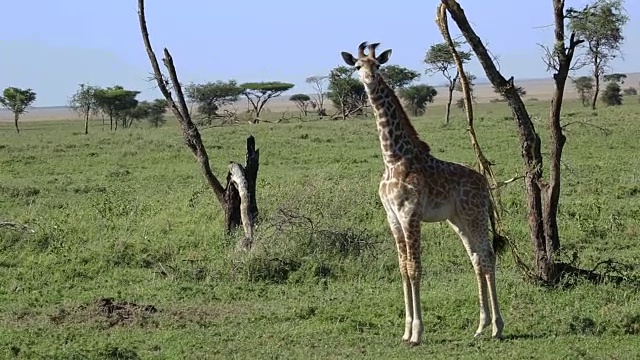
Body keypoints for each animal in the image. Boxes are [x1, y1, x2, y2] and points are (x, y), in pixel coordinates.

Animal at [340, 42, 504, 346]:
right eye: (357, 66)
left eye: (376, 65)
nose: (368, 79)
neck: (393, 159)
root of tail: (485, 184)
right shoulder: (392, 218)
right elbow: (403, 268)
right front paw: (405, 331)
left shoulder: (410, 214)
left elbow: (415, 268)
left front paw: (417, 332)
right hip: (458, 220)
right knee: (476, 259)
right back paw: (481, 325)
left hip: (475, 215)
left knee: (488, 257)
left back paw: (498, 327)